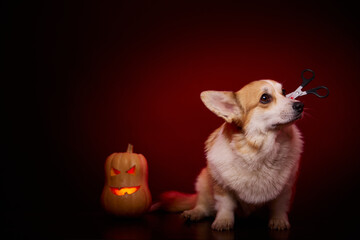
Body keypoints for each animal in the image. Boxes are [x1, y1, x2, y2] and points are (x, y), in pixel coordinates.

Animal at [156, 80, 302, 231]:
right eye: (265, 98)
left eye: (284, 92)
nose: (300, 105)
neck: (258, 151)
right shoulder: (221, 185)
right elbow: (225, 205)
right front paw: (223, 220)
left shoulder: (286, 189)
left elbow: (279, 206)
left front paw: (279, 220)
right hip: (203, 181)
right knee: (204, 206)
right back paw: (195, 213)